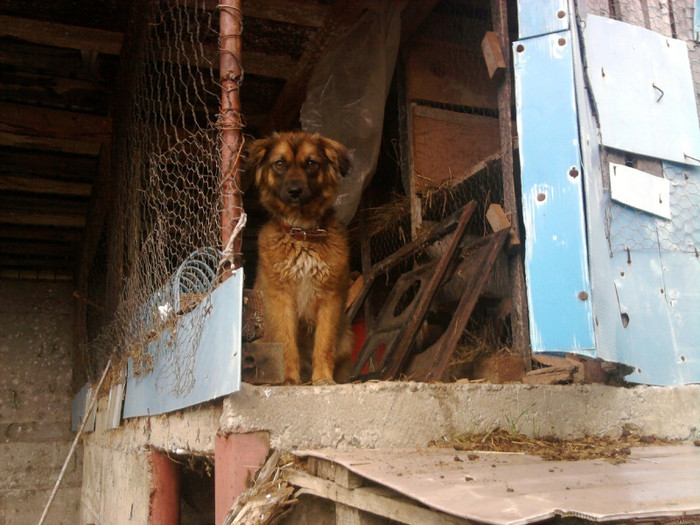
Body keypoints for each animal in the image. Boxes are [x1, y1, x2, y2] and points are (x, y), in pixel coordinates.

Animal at [247, 131, 356, 384]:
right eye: (279, 164)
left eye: (310, 163)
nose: (295, 191)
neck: (303, 234)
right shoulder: (281, 298)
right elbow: (287, 343)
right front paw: (289, 379)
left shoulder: (329, 297)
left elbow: (324, 344)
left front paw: (323, 378)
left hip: (346, 339)